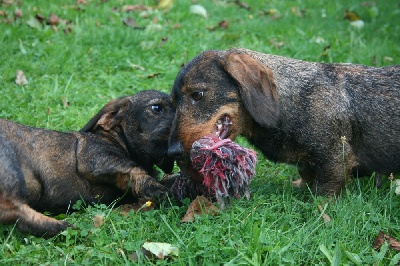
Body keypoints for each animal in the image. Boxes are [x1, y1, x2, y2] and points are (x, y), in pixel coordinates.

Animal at [0, 90, 175, 237]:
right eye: (156, 108)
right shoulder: (96, 158)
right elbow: (133, 169)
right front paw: (154, 189)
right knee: (12, 209)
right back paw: (66, 226)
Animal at [168, 47, 400, 197]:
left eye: (197, 94)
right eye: (173, 102)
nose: (172, 151)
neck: (293, 101)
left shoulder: (335, 158)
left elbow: (324, 193)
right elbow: (305, 173)